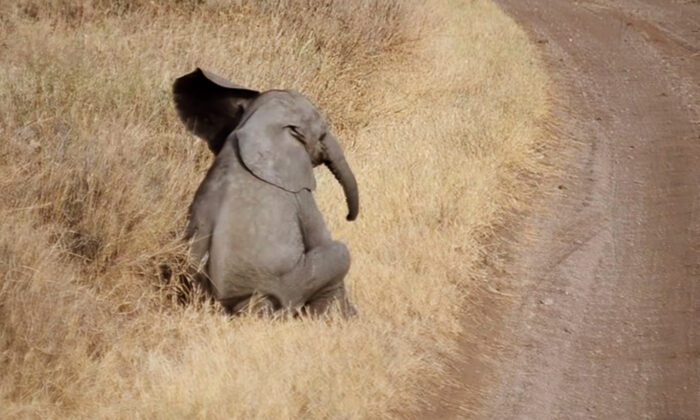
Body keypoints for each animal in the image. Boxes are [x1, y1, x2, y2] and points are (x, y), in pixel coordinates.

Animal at [175, 69, 360, 316]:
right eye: (322, 134)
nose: (348, 217)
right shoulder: (298, 191)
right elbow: (320, 238)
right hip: (284, 287)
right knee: (340, 253)